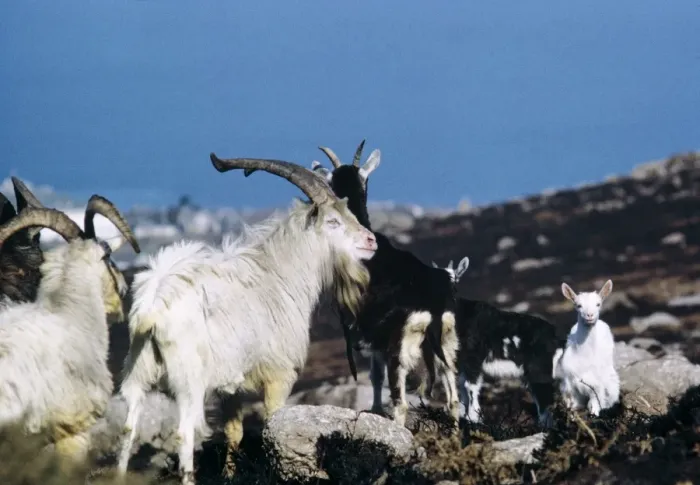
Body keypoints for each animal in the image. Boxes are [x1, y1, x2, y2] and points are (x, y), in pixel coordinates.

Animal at [117, 153, 377, 485]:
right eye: (332, 221)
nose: (371, 241)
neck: (278, 273)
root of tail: (152, 309)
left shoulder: (231, 385)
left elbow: (234, 431)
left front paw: (229, 474)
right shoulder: (279, 374)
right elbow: (273, 425)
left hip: (138, 372)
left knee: (128, 429)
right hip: (189, 381)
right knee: (184, 433)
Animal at [311, 141, 460, 428]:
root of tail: (434, 310)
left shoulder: (371, 338)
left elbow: (375, 376)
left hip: (400, 349)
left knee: (401, 404)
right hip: (447, 344)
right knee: (454, 401)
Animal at [426, 258, 564, 428]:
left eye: (455, 280)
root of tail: (556, 337)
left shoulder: (473, 360)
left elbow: (471, 388)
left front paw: (474, 419)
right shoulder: (463, 364)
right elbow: (463, 388)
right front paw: (466, 417)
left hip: (540, 369)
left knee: (545, 399)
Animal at [555, 280, 620, 416]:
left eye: (598, 304)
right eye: (578, 305)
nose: (590, 315)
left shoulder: (597, 384)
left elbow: (596, 399)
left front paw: (595, 412)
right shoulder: (571, 381)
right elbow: (575, 400)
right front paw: (573, 411)